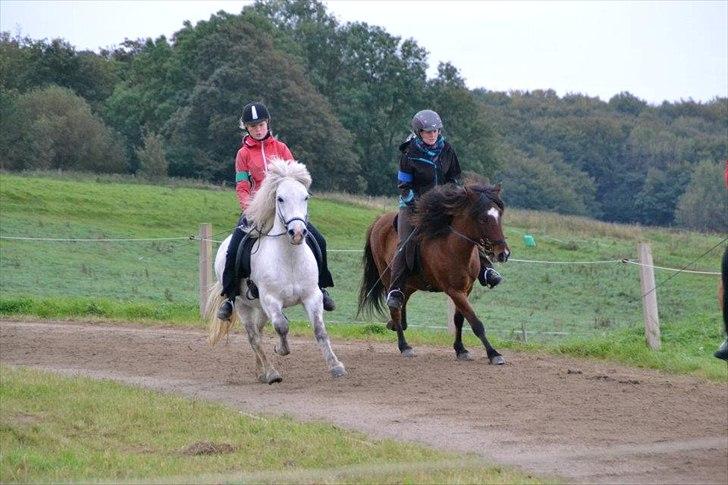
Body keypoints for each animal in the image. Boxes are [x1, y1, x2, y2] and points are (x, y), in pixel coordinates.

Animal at [205, 158, 346, 382]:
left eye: (305, 197)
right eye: (280, 198)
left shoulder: (312, 296)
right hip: (244, 305)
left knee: (259, 331)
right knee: (253, 336)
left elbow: (319, 330)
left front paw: (336, 367)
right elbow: (281, 326)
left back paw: (260, 371)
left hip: (260, 308)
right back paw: (270, 373)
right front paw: (281, 350)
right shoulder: (271, 299)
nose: (297, 233)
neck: (290, 259)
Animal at [358, 182, 512, 364]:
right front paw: (493, 354)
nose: (503, 254)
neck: (453, 247)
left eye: (499, 215)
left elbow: (459, 319)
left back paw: (395, 325)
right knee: (394, 308)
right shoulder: (454, 291)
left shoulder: (466, 289)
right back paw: (404, 346)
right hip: (389, 277)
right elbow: (475, 322)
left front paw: (460, 349)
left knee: (401, 304)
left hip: (409, 284)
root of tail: (379, 220)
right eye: (483, 219)